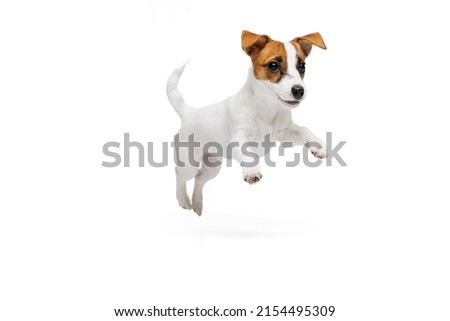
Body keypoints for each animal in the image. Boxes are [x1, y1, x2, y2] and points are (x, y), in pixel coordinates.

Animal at [165, 30, 326, 215]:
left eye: (302, 66)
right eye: (273, 65)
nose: (299, 90)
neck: (266, 108)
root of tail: (188, 112)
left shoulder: (285, 133)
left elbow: (304, 130)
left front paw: (318, 145)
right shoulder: (239, 136)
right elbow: (247, 151)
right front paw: (251, 170)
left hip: (212, 166)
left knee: (199, 179)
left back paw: (197, 204)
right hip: (188, 163)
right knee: (179, 174)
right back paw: (183, 200)